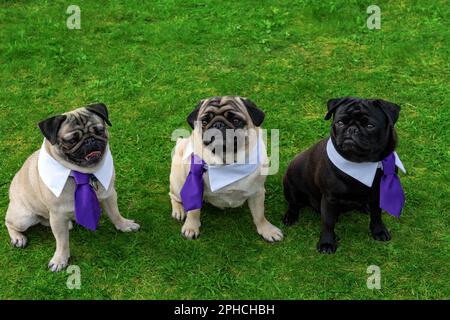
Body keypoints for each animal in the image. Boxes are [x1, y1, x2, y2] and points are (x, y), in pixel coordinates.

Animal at [4, 104, 139, 272]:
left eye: (100, 131)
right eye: (71, 140)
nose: (90, 140)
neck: (83, 174)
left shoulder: (109, 195)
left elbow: (115, 213)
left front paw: (124, 225)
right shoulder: (57, 214)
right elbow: (62, 241)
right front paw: (60, 259)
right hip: (23, 218)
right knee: (8, 222)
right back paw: (18, 237)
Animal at [171, 96, 284, 241]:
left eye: (236, 120)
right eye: (205, 121)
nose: (218, 124)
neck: (227, 163)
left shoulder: (257, 192)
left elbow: (260, 214)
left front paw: (267, 229)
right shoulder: (193, 185)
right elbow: (193, 210)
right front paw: (191, 226)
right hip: (178, 182)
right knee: (174, 196)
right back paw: (178, 210)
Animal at [282, 97, 404, 252]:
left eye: (370, 126)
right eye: (340, 122)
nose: (352, 129)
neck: (360, 163)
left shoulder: (378, 194)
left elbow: (377, 215)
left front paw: (379, 231)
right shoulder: (330, 198)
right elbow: (328, 223)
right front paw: (327, 243)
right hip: (292, 187)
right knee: (294, 204)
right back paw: (290, 217)